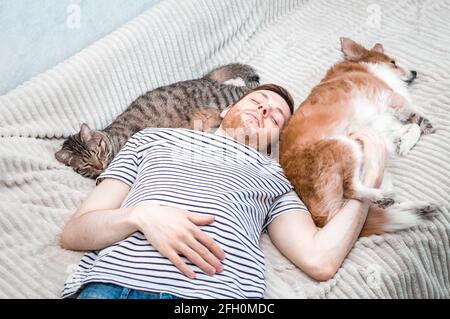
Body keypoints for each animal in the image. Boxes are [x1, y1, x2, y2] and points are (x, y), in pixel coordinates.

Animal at [55, 63, 260, 179]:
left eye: (97, 152)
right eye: (86, 165)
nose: (100, 166)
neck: (112, 140)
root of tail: (203, 79)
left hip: (221, 97)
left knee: (252, 90)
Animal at [282, 37, 436, 238]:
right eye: (393, 62)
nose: (415, 72)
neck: (361, 67)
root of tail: (320, 220)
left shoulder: (384, 125)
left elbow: (411, 128)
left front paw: (404, 143)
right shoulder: (391, 98)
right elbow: (414, 118)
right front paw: (421, 128)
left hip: (378, 170)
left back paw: (418, 207)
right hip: (345, 145)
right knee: (351, 189)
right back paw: (381, 197)